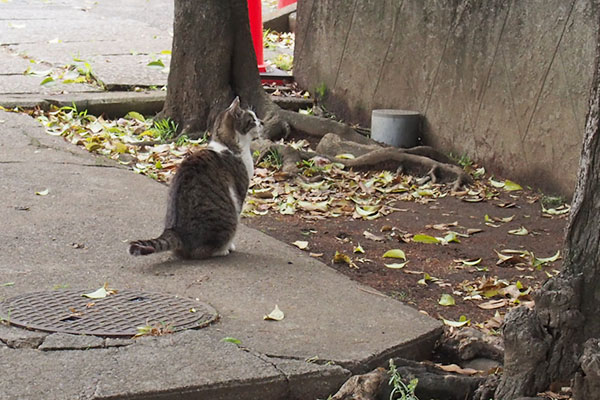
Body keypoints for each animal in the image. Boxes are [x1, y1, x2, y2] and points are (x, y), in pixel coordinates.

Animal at [129, 97, 262, 260]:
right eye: (252, 119)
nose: (261, 122)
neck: (228, 145)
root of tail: (176, 231)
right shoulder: (240, 192)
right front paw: (230, 246)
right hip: (227, 217)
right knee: (203, 250)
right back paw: (222, 250)